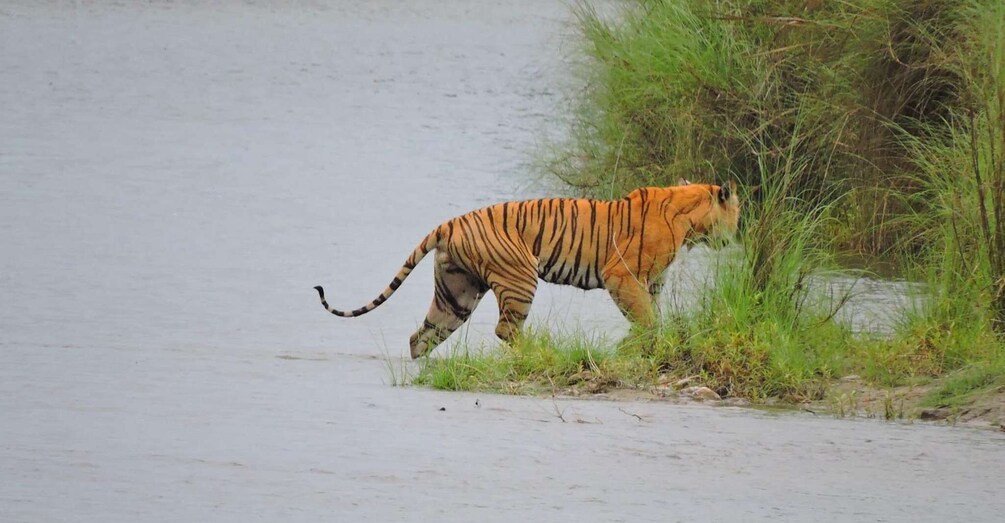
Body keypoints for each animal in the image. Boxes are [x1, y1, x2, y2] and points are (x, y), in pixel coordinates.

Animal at [313, 178, 739, 358]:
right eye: (736, 211)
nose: (735, 234)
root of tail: (449, 222)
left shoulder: (650, 284)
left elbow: (653, 318)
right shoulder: (623, 277)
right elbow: (648, 320)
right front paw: (632, 347)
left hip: (457, 293)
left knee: (422, 336)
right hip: (519, 277)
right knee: (506, 329)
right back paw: (541, 351)